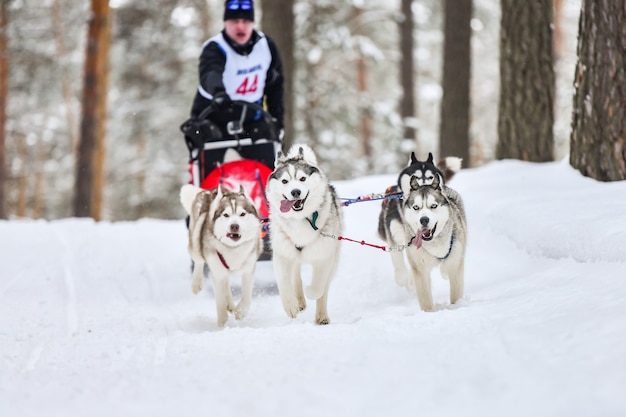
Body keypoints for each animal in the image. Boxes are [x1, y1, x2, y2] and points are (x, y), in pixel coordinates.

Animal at [179, 184, 262, 326]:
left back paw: (231, 304)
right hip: (195, 241)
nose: (234, 226)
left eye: (242, 214)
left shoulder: (249, 270)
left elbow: (246, 297)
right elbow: (220, 301)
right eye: (226, 215)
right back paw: (196, 284)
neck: (233, 249)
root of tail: (209, 191)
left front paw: (240, 312)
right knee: (199, 261)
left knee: (226, 281)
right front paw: (222, 324)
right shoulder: (216, 272)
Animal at [264, 144, 342, 324]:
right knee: (295, 276)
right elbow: (284, 281)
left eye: (302, 179)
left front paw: (311, 292)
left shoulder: (324, 256)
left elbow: (319, 286)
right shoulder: (282, 254)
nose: (295, 192)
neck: (300, 219)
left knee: (325, 287)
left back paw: (321, 315)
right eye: (285, 181)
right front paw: (290, 305)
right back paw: (299, 301)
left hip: (333, 259)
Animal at [376, 152, 464, 308]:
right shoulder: (396, 240)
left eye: (430, 177)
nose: (425, 188)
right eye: (415, 177)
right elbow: (401, 272)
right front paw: (407, 280)